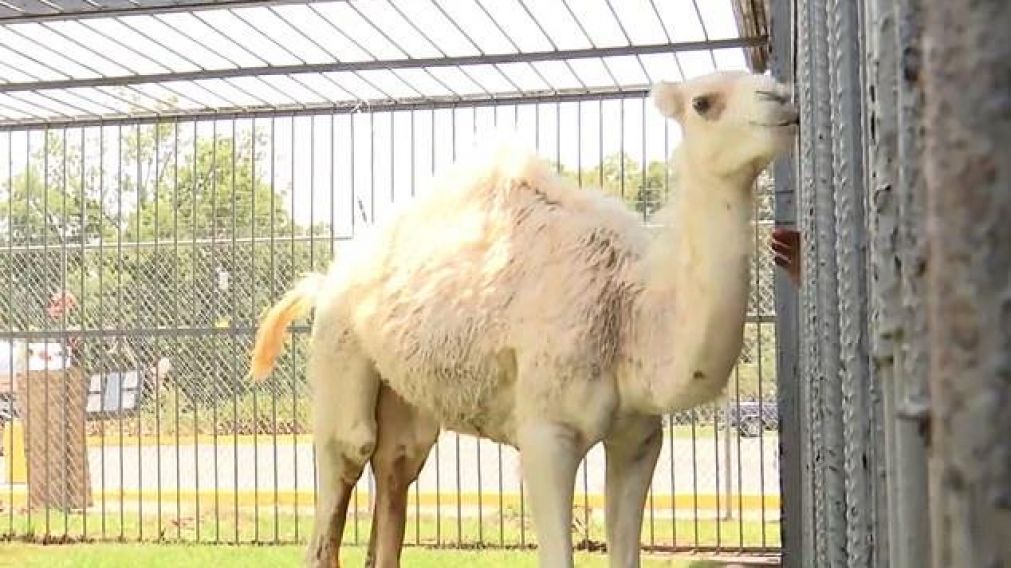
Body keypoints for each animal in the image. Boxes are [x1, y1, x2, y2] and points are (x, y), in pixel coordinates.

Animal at [249, 70, 798, 568]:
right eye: (703, 102)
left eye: (766, 80)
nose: (784, 101)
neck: (629, 315)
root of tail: (326, 279)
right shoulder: (545, 433)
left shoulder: (640, 437)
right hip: (339, 347)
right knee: (348, 456)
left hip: (407, 393)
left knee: (396, 461)